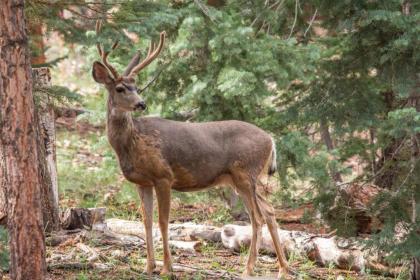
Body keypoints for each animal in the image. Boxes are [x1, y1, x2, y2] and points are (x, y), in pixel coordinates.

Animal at [92, 20, 288, 278]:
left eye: (137, 87)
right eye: (121, 88)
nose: (141, 103)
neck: (132, 143)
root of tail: (271, 140)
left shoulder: (164, 176)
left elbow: (163, 221)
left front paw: (167, 268)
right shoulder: (142, 182)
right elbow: (146, 221)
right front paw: (149, 266)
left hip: (246, 173)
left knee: (257, 217)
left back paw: (249, 268)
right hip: (244, 179)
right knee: (270, 211)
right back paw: (283, 269)